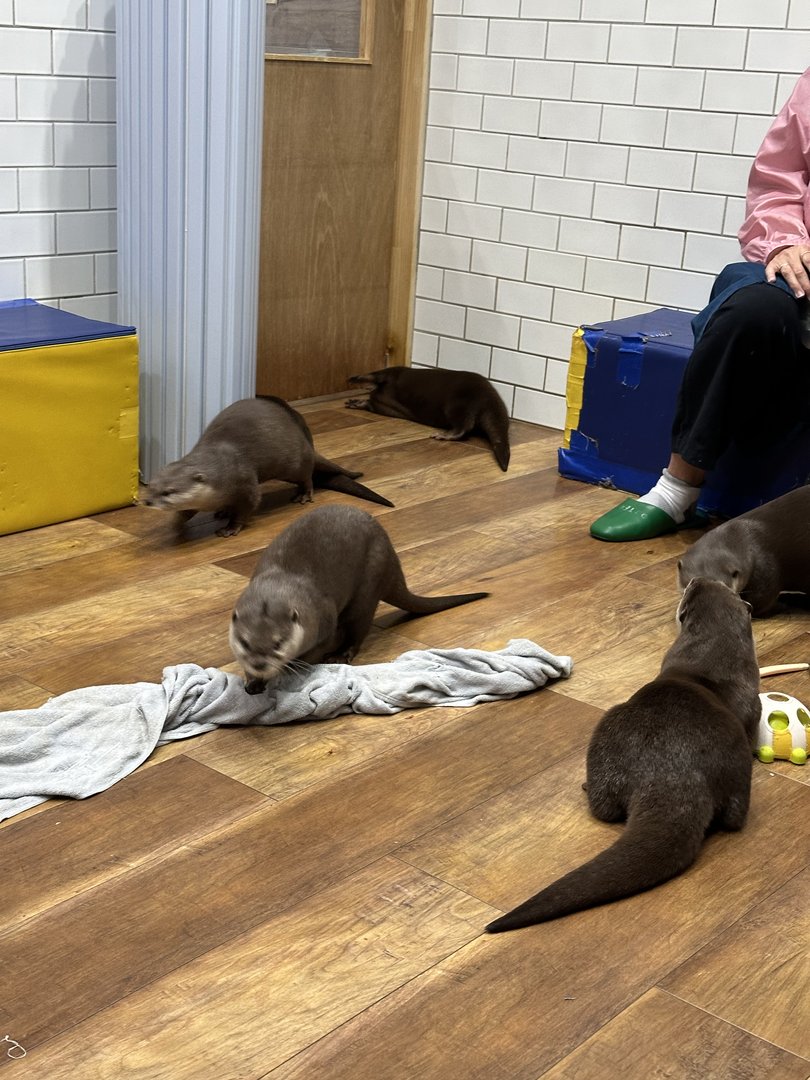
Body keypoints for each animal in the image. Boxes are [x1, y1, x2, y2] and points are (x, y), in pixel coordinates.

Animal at [143, 393, 397, 535]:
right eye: (152, 486)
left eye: (169, 491)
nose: (147, 501)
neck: (222, 472)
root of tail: (305, 441)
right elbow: (186, 512)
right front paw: (175, 525)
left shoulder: (245, 483)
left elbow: (248, 506)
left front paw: (231, 528)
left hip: (294, 462)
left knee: (307, 476)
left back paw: (303, 495)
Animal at [228, 503, 488, 695]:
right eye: (245, 642)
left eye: (278, 643)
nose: (259, 664)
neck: (282, 580)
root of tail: (393, 562)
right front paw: (253, 681)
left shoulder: (323, 621)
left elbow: (314, 653)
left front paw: (288, 670)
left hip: (369, 584)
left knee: (359, 628)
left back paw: (342, 654)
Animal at [345, 367, 509, 468]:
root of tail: (490, 399)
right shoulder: (381, 404)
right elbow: (370, 400)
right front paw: (356, 401)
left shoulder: (395, 372)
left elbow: (375, 374)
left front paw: (353, 379)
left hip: (458, 403)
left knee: (464, 425)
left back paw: (444, 435)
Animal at [486, 578, 764, 933]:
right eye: (707, 585)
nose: (695, 579)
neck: (710, 662)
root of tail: (674, 776)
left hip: (606, 734)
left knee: (603, 807)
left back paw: (586, 787)